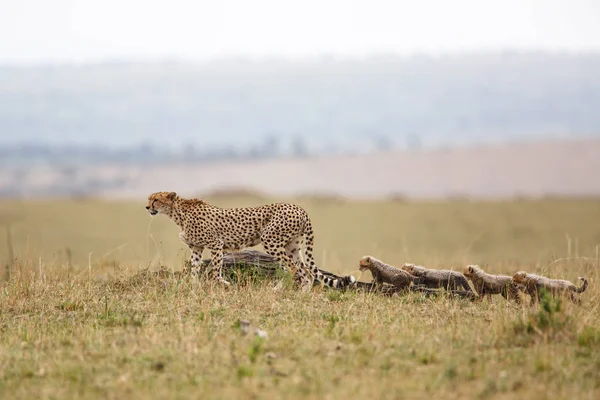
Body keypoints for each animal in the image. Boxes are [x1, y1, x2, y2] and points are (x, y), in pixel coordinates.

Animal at [146, 191, 356, 290]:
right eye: (150, 199)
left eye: (156, 199)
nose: (147, 207)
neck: (177, 212)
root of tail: (299, 208)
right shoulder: (196, 248)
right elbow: (194, 269)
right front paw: (193, 286)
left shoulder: (215, 244)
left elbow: (214, 270)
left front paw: (224, 284)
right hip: (292, 246)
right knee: (307, 272)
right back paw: (302, 295)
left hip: (270, 240)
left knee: (293, 269)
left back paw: (277, 289)